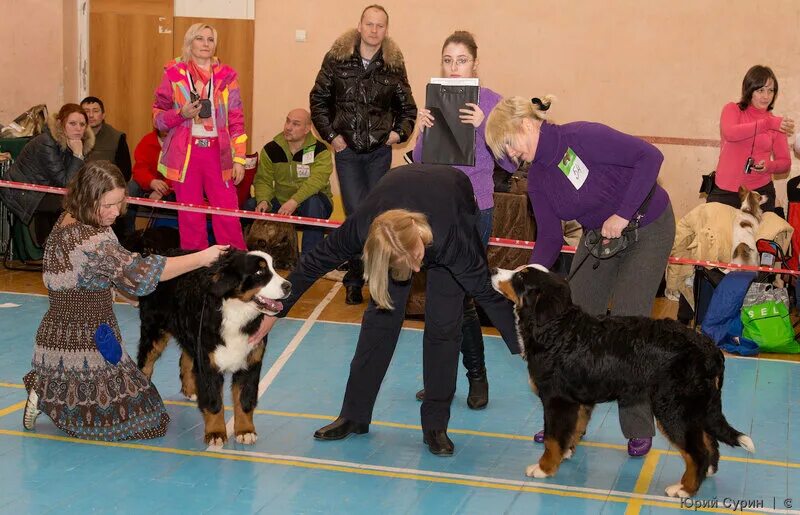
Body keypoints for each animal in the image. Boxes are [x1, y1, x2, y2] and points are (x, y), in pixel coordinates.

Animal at [138, 250, 290, 448]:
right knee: (145, 365)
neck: (235, 313)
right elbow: (214, 401)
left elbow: (244, 400)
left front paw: (245, 431)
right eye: (259, 272)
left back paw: (190, 390)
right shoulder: (208, 364)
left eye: (274, 267)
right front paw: (216, 433)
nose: (288, 286)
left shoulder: (250, 362)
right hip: (154, 333)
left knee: (185, 358)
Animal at [488, 264, 756, 498]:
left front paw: (544, 468)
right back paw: (707, 472)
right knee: (709, 441)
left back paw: (684, 488)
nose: (493, 269)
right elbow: (571, 431)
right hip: (696, 406)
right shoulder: (579, 401)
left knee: (697, 452)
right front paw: (565, 453)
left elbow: (553, 439)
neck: (556, 329)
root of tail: (709, 348)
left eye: (521, 277)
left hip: (673, 407)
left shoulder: (558, 399)